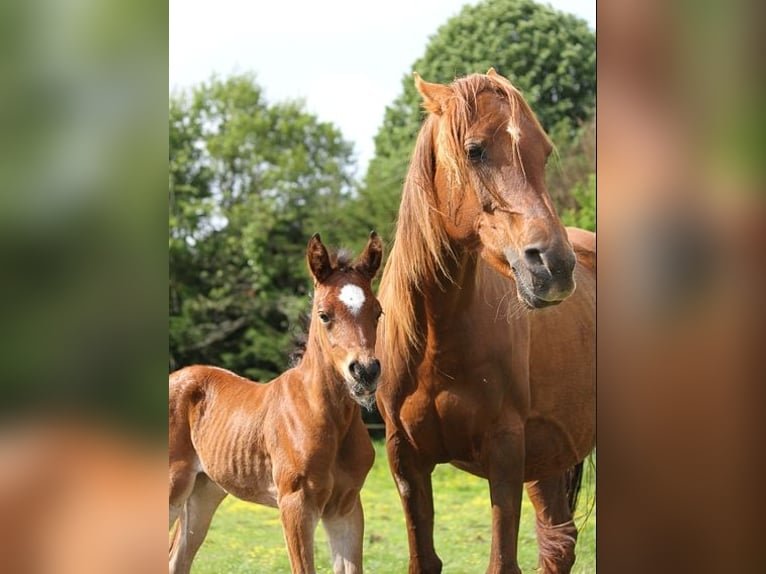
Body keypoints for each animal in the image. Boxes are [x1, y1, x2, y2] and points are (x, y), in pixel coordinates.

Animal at [169, 233, 384, 574]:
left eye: (377, 311)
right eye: (324, 314)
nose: (365, 371)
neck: (328, 418)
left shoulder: (346, 507)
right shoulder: (296, 504)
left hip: (203, 492)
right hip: (172, 487)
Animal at [376, 70, 596, 572]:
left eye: (544, 151)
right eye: (474, 150)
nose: (555, 266)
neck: (437, 343)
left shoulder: (506, 451)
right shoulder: (404, 459)